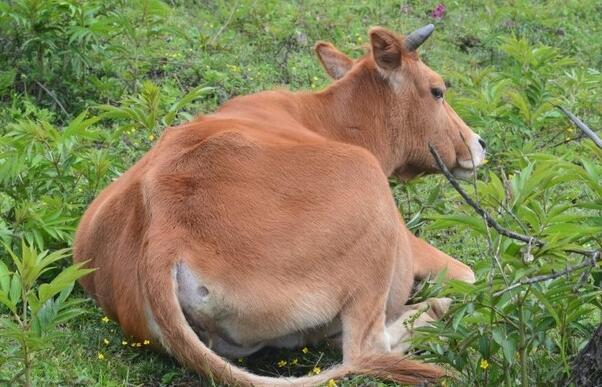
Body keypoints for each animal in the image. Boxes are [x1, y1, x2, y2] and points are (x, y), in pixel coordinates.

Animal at [75, 25, 486, 386]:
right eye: (437, 91)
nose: (479, 143)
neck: (331, 119)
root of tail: (163, 230)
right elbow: (469, 275)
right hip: (369, 201)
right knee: (364, 348)